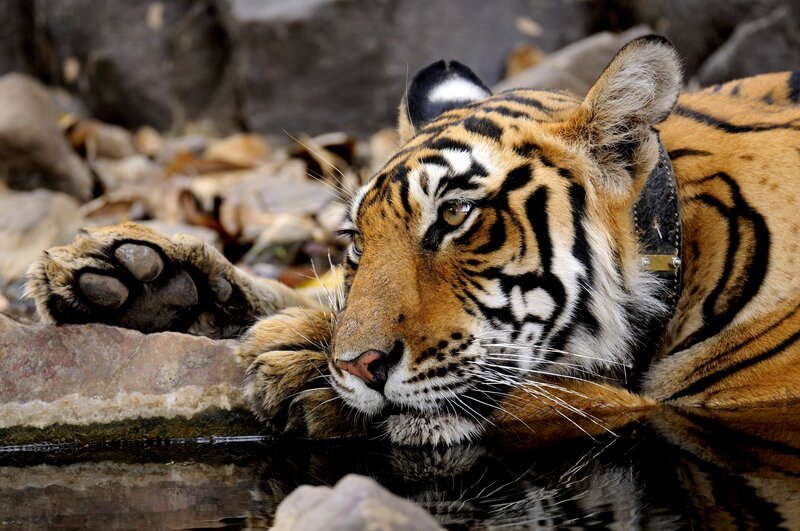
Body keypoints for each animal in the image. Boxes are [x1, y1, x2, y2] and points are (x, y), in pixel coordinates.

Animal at [25, 36, 800, 447]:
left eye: (455, 216)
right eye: (355, 241)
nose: (355, 365)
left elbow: (562, 397)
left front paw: (298, 365)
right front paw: (138, 280)